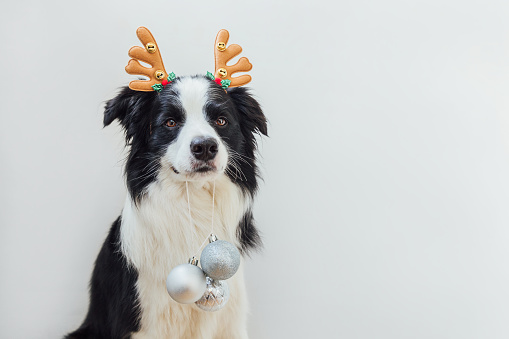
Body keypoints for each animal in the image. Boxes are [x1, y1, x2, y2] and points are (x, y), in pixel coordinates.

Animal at [67, 75, 268, 338]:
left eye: (221, 120)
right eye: (170, 122)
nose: (205, 147)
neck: (193, 201)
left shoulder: (230, 323)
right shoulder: (143, 322)